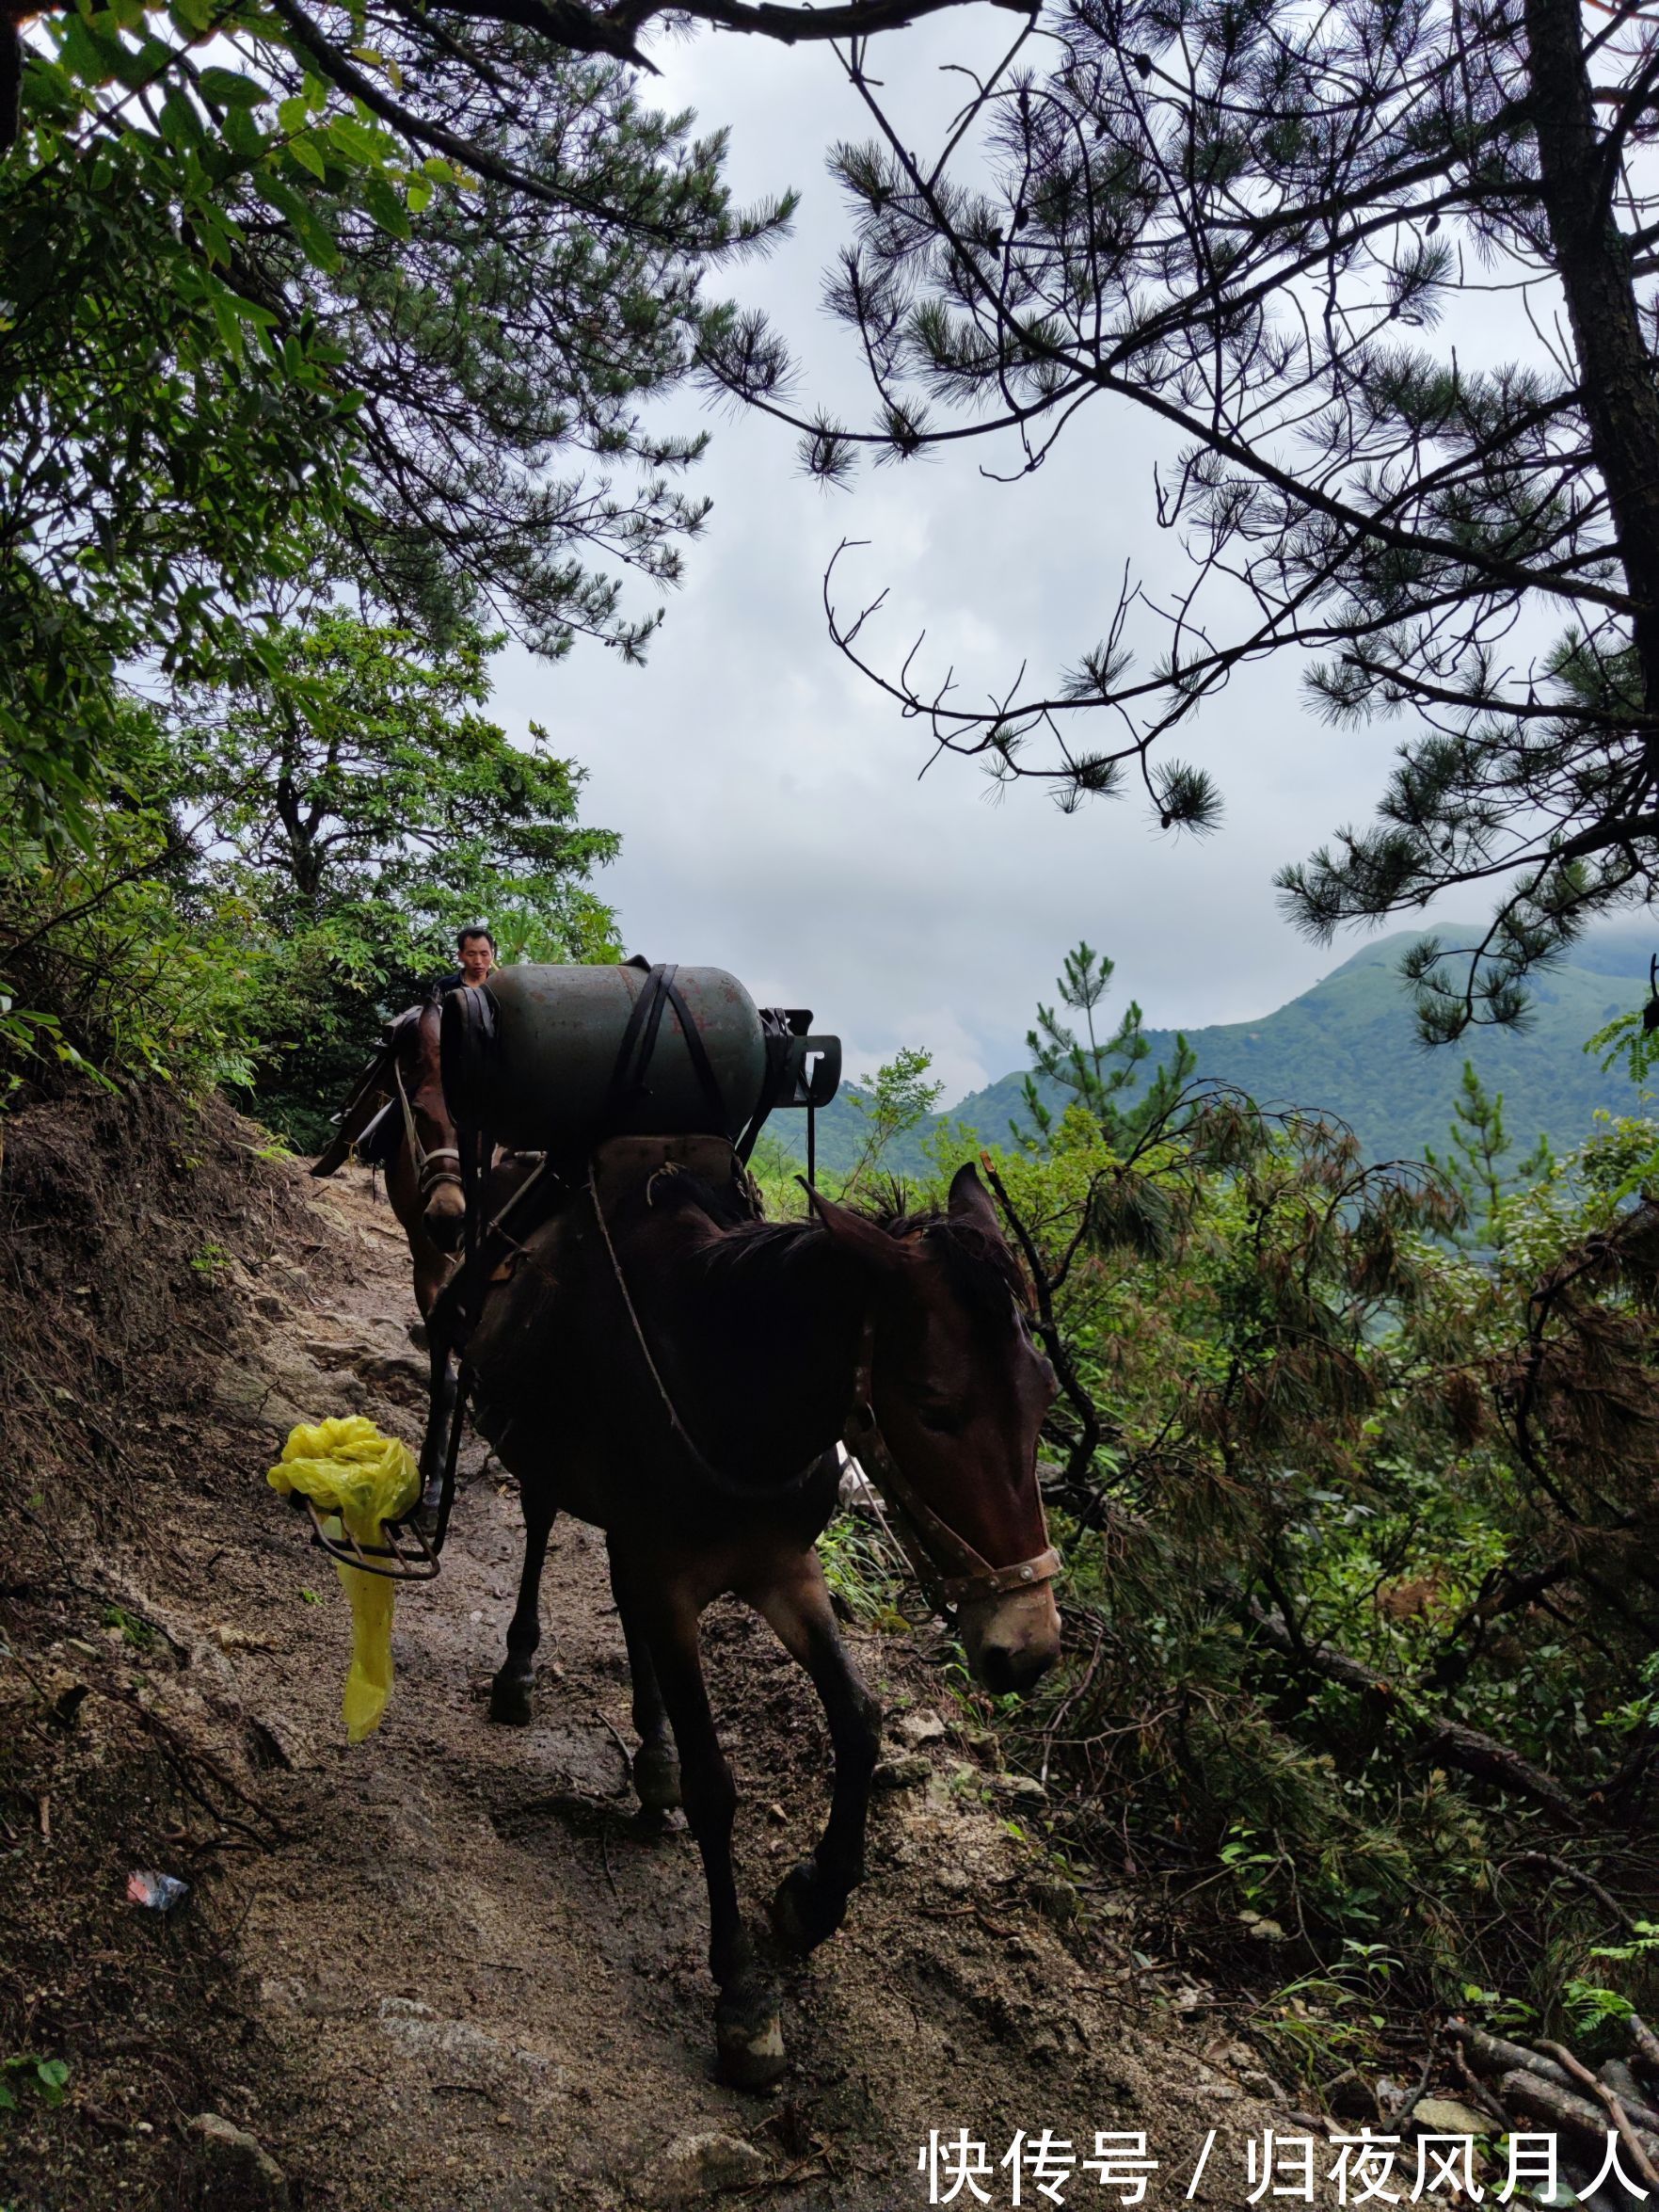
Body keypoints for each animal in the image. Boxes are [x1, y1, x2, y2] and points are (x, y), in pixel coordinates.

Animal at [464, 1141, 1066, 2088]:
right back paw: (521, 1672)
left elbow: (859, 1718)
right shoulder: (672, 1585)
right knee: (538, 1526)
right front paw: (742, 1993)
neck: (731, 1387)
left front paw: (814, 1897)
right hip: (538, 1452)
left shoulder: (784, 1569)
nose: (1027, 1646)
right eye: (934, 1406)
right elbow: (717, 1783)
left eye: (1044, 1398)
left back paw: (651, 1754)